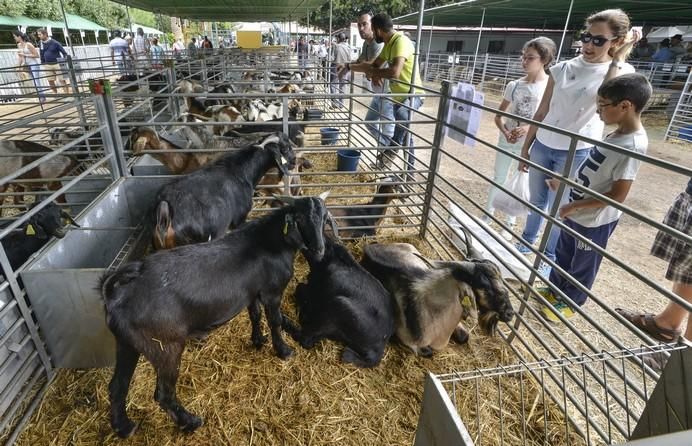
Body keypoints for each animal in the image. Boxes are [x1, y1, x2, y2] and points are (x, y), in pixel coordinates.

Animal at [101, 194, 332, 436]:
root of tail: (116, 296)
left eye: (325, 218)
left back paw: (123, 427)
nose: (319, 250)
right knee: (163, 393)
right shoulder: (272, 291)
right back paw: (190, 421)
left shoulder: (252, 292)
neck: (273, 241)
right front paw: (284, 350)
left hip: (128, 343)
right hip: (165, 346)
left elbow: (255, 315)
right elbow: (275, 321)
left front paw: (258, 340)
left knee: (117, 386)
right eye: (300, 219)